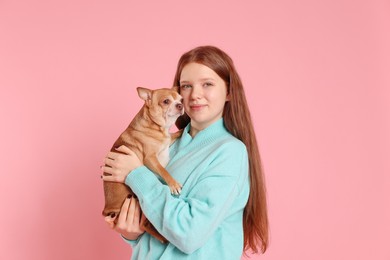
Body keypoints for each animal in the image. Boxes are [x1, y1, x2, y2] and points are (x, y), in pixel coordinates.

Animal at [103, 86, 184, 243]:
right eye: (166, 101)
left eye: (181, 99)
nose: (180, 105)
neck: (156, 127)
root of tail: (107, 208)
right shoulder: (150, 158)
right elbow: (163, 171)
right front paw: (173, 184)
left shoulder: (167, 141)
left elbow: (175, 134)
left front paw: (184, 129)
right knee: (144, 224)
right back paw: (163, 238)